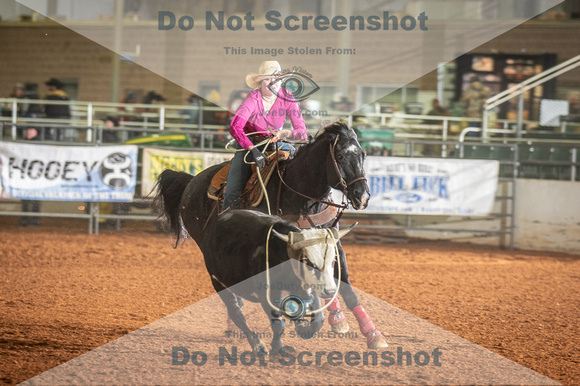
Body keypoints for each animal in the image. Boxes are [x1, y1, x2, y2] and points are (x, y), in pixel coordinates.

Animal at [156, 122, 388, 348]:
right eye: (339, 156)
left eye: (363, 155)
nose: (362, 196)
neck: (300, 194)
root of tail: (191, 181)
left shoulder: (331, 242)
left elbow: (346, 286)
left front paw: (371, 333)